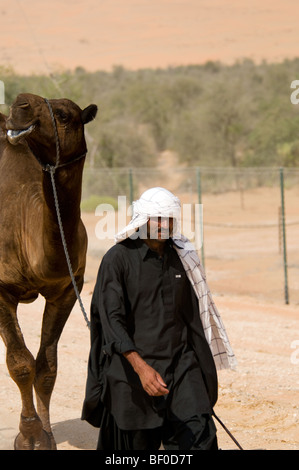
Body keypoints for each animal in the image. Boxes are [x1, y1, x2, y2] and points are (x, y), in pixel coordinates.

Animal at [0, 93, 97, 450]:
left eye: (65, 114)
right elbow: (19, 362)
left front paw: (47, 436)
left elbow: (46, 366)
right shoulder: (2, 290)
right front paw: (28, 434)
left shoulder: (68, 288)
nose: (20, 104)